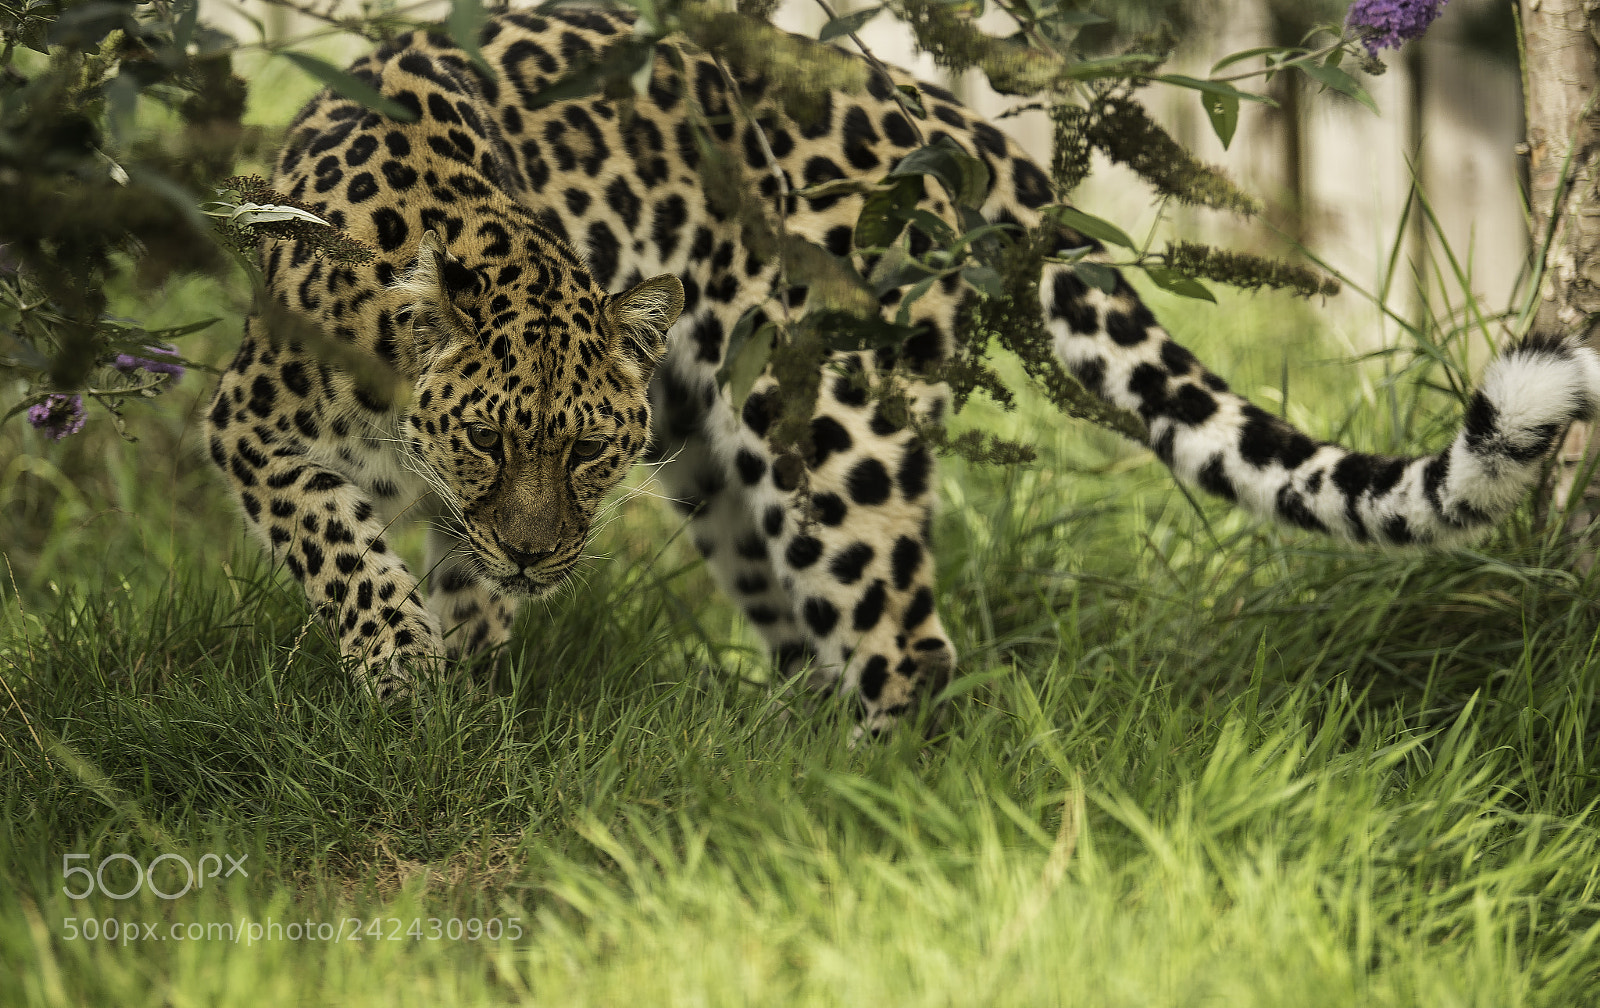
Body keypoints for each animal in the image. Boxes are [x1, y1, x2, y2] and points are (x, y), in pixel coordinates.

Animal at [206, 5, 1600, 733]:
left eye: (590, 450)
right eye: (489, 440)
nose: (544, 552)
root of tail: (965, 132)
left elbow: (392, 573)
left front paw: (421, 691)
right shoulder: (256, 429)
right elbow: (363, 558)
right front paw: (434, 692)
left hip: (828, 421)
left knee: (904, 644)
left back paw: (851, 829)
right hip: (719, 457)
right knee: (803, 626)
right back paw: (781, 758)